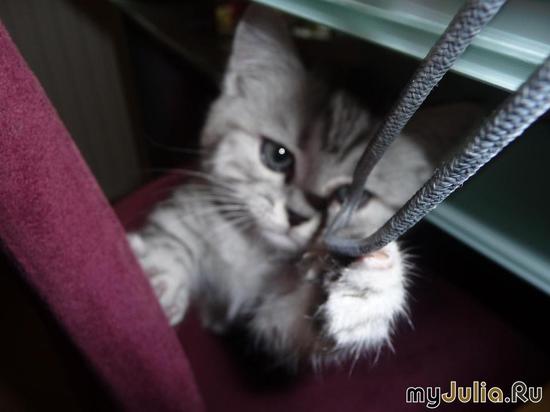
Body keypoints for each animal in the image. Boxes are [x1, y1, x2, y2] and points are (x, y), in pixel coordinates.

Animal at [128, 5, 478, 365]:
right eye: (277, 155)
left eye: (348, 196)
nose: (297, 215)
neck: (256, 251)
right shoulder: (192, 204)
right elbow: (171, 236)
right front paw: (154, 280)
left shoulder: (278, 321)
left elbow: (304, 323)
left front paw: (372, 288)